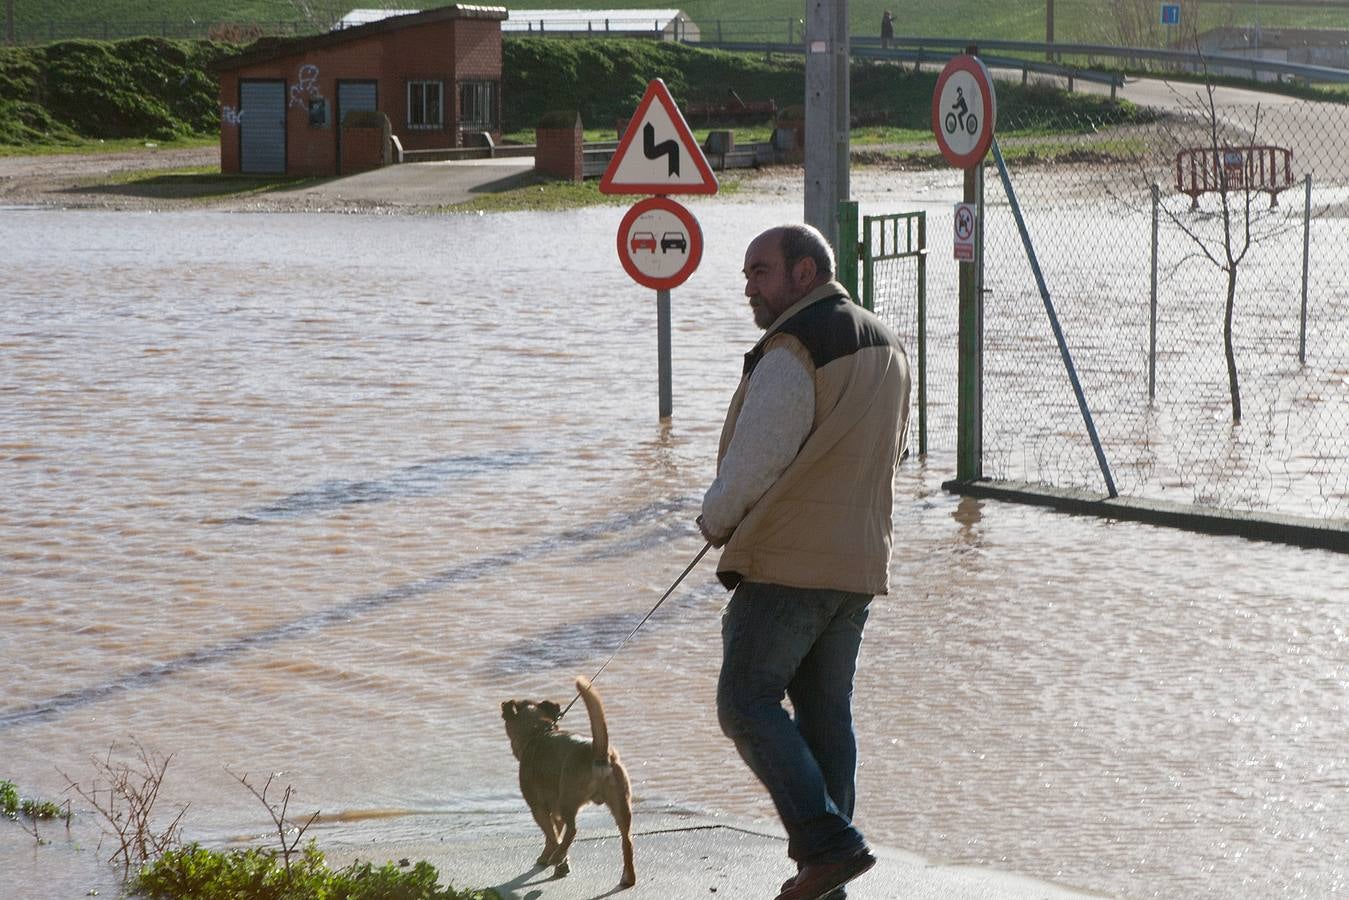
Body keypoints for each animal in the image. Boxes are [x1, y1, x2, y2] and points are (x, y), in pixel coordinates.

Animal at [501, 680, 636, 885]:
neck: (537, 732)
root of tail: (598, 752)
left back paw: (557, 857)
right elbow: (555, 834)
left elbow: (552, 836)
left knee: (572, 830)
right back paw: (628, 878)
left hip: (568, 799)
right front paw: (555, 860)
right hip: (621, 804)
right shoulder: (554, 811)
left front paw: (556, 860)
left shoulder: (538, 808)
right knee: (627, 840)